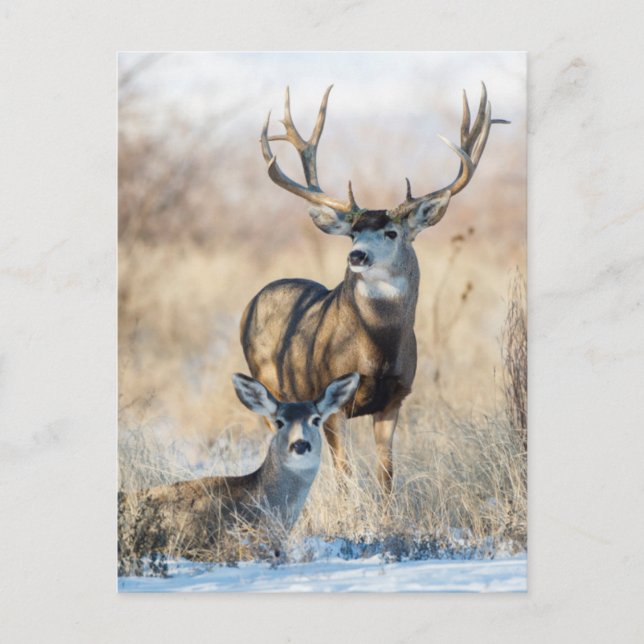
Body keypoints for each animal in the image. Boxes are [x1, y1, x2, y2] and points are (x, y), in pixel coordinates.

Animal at [240, 83, 508, 494]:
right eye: (353, 232)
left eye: (391, 232)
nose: (357, 255)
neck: (376, 349)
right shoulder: (331, 401)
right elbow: (345, 475)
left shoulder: (395, 398)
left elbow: (386, 475)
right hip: (269, 385)